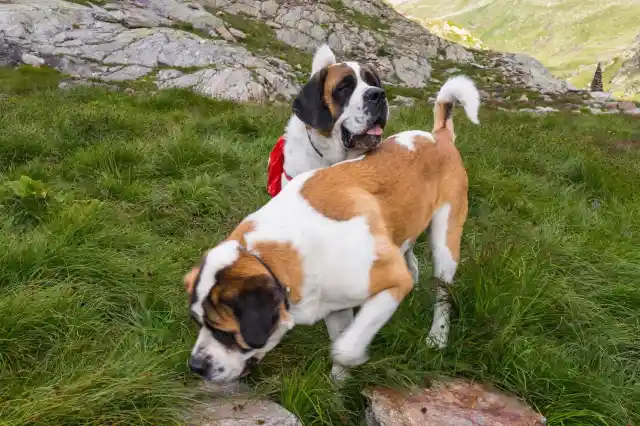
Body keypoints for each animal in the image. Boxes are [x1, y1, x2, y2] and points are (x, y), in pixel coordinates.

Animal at [185, 74, 480, 382]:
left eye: (224, 332)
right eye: (196, 322)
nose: (195, 366)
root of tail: (439, 135)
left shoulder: (391, 281)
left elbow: (344, 348)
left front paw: (353, 360)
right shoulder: (335, 301)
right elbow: (341, 336)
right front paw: (338, 386)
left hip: (445, 242)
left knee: (442, 293)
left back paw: (437, 337)